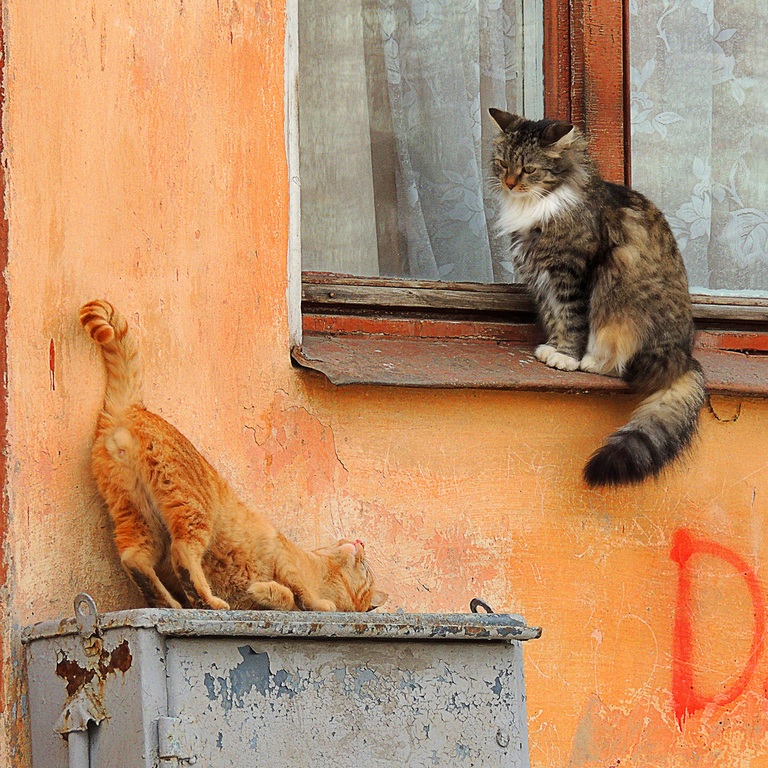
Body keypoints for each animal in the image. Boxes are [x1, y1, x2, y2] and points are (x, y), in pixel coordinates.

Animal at [80, 300, 387, 612]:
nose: (359, 541)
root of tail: (134, 408)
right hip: (194, 509)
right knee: (183, 552)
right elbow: (303, 594)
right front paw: (315, 601)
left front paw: (267, 591)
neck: (321, 571)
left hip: (136, 513)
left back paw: (169, 602)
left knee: (134, 558)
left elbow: (287, 599)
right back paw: (206, 600)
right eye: (366, 566)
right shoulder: (285, 558)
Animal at [489, 109, 705, 487]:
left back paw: (593, 362)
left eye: (528, 169)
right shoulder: (543, 278)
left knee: (622, 364)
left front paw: (567, 358)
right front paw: (553, 349)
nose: (510, 183)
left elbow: (573, 320)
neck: (538, 203)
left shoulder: (573, 272)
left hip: (620, 307)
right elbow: (556, 318)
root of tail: (685, 358)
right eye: (502, 164)